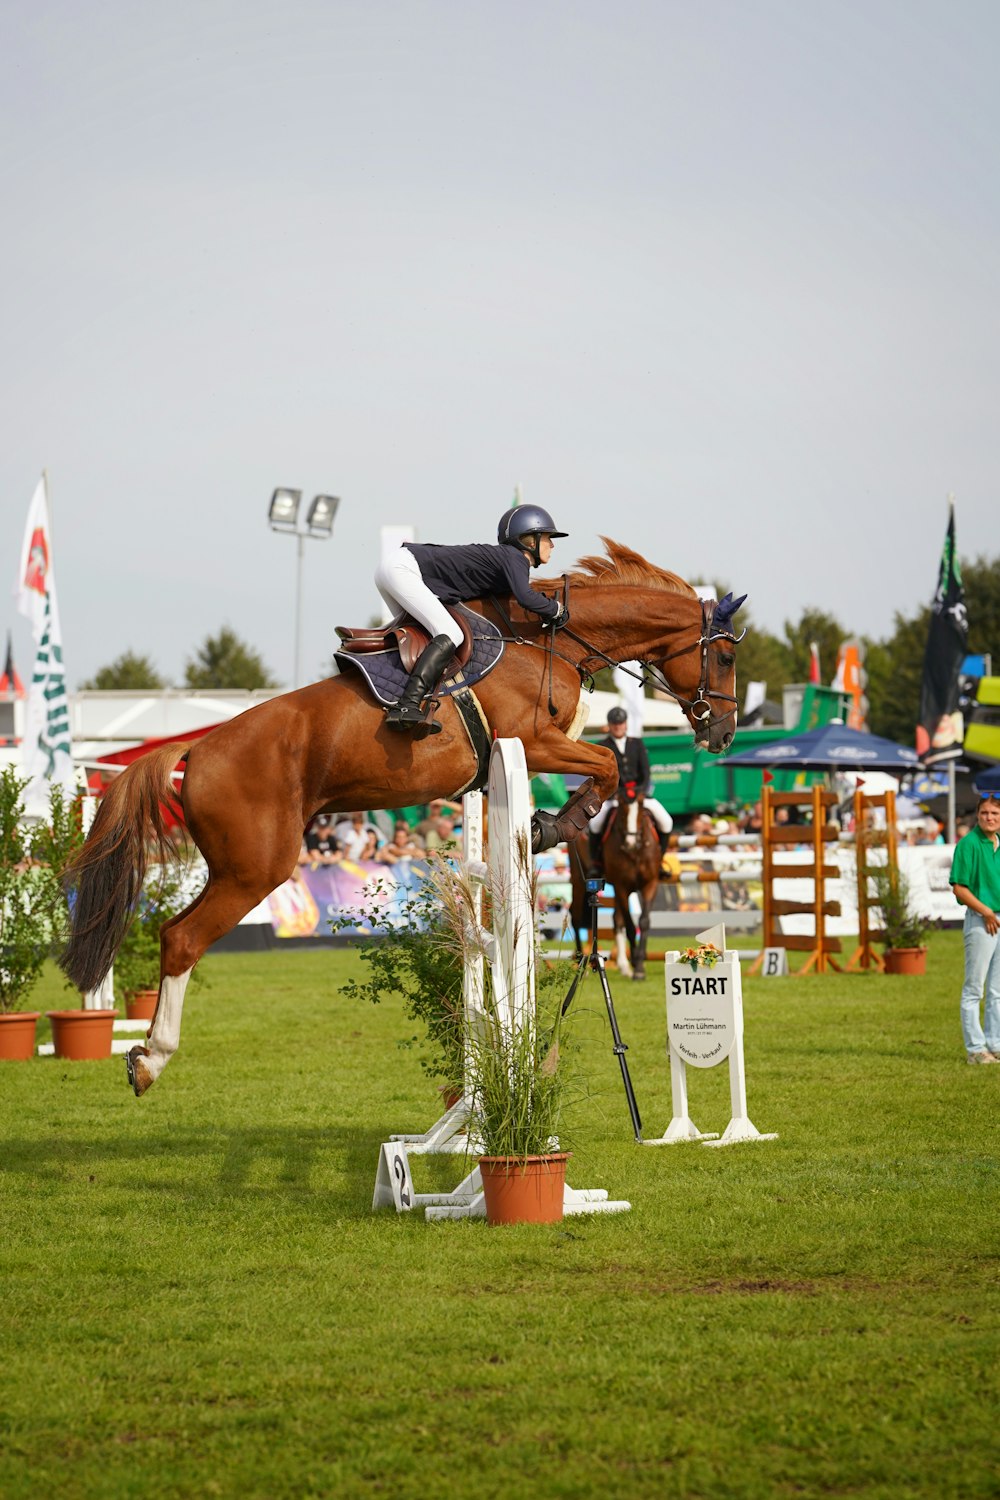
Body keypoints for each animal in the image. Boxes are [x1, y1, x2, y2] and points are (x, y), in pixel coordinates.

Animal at [569, 786, 665, 984]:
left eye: (641, 806)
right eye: (621, 809)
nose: (630, 844)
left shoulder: (650, 884)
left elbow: (643, 921)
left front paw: (638, 965)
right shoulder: (622, 886)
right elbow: (630, 926)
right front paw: (637, 965)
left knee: (615, 919)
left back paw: (623, 966)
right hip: (578, 880)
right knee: (575, 917)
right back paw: (581, 965)